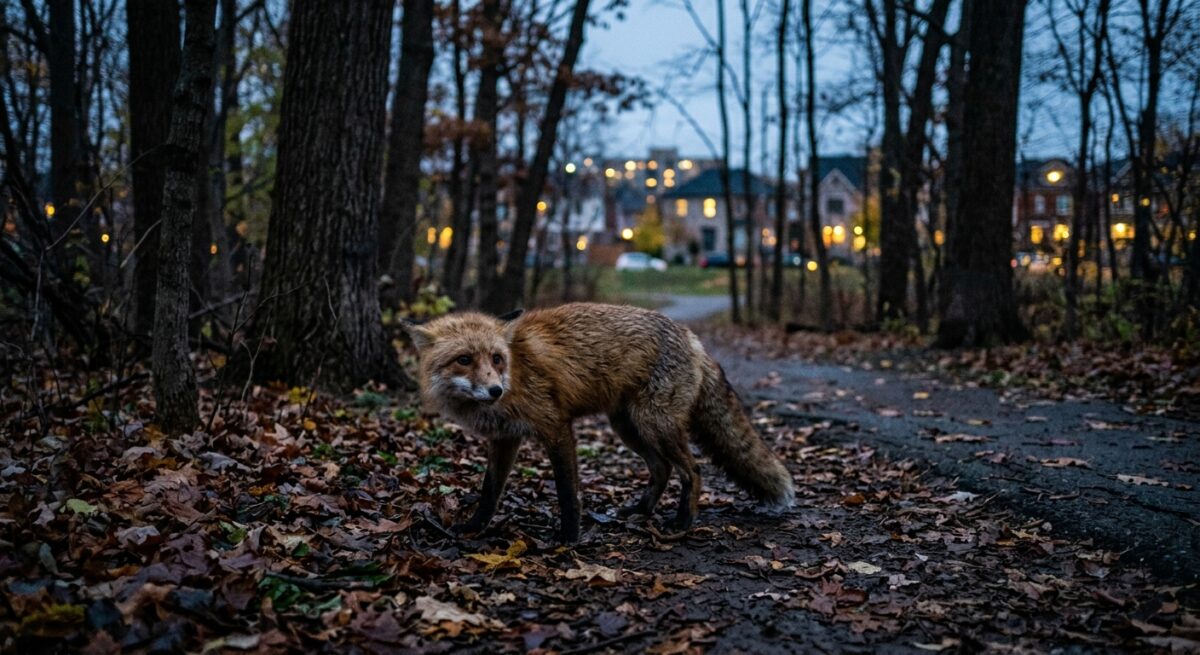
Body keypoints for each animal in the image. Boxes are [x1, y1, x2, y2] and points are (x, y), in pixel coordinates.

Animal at [401, 302, 794, 543]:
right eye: (464, 359)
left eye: (496, 358)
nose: (495, 390)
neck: (516, 370)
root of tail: (691, 337)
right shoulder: (504, 438)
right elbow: (489, 491)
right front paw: (472, 528)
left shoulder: (555, 426)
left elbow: (566, 490)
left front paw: (568, 538)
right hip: (629, 427)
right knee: (662, 468)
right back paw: (640, 510)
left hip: (654, 424)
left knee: (693, 470)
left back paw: (683, 522)